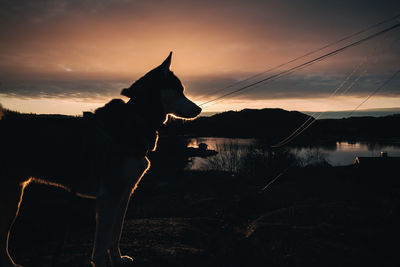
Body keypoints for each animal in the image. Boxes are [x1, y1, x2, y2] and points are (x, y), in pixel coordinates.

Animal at [0, 52, 202, 267]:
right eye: (179, 91)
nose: (199, 109)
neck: (136, 120)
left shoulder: (124, 195)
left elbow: (115, 234)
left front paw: (118, 259)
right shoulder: (109, 196)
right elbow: (102, 242)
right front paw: (102, 261)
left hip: (13, 193)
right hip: (12, 196)